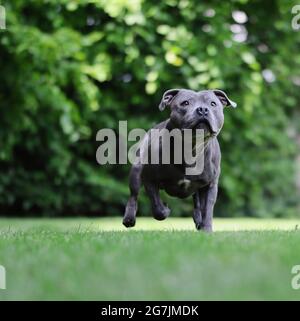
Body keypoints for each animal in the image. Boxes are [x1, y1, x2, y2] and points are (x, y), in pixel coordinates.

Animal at [122, 89, 237, 231]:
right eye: (185, 103)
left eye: (213, 104)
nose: (203, 109)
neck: (191, 148)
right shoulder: (149, 179)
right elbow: (157, 207)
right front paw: (165, 209)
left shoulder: (210, 185)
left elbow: (207, 210)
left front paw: (206, 229)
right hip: (136, 169)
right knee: (134, 194)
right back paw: (129, 219)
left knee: (197, 202)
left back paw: (198, 219)